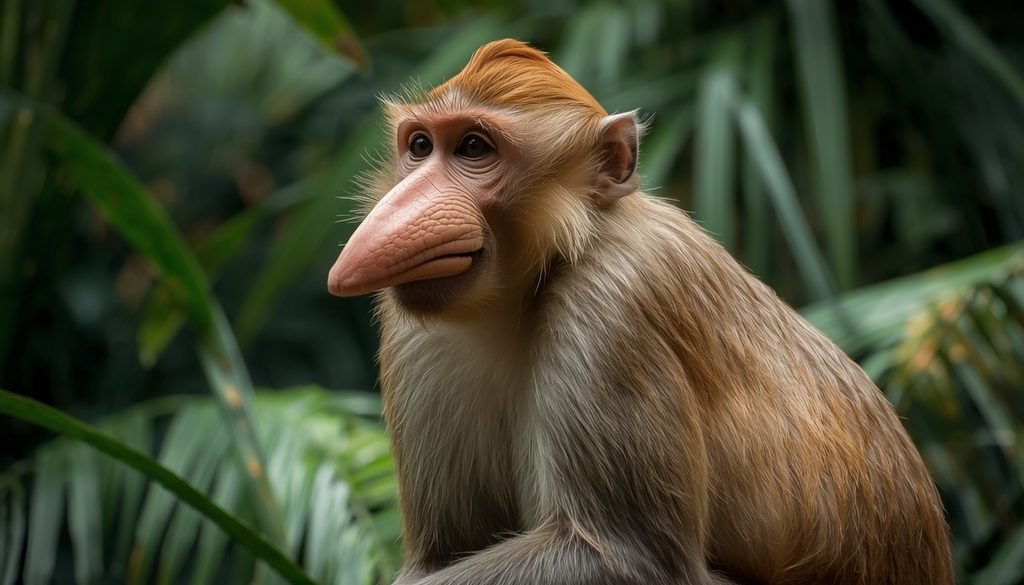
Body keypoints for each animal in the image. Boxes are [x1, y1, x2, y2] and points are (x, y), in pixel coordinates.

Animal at [327, 39, 953, 585]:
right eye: (420, 147)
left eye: (474, 149)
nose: (398, 209)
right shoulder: (416, 335)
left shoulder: (613, 299)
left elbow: (625, 555)